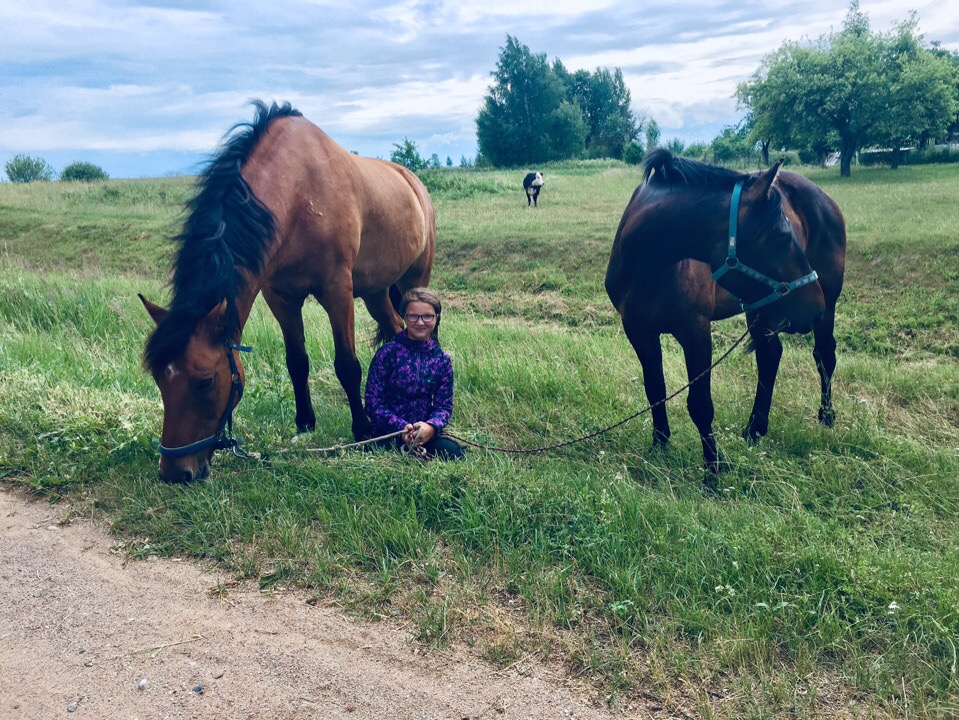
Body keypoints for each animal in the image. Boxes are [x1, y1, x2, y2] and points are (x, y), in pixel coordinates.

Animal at [141, 100, 436, 484]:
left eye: (205, 381)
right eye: (159, 379)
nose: (176, 473)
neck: (299, 193)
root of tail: (414, 183)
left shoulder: (337, 292)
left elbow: (347, 365)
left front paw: (362, 430)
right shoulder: (280, 297)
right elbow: (297, 361)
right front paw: (305, 422)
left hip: (416, 280)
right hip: (376, 291)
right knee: (395, 330)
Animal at [608, 150, 848, 478]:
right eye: (782, 237)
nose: (814, 308)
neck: (650, 269)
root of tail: (826, 199)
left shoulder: (696, 333)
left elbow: (700, 404)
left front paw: (713, 471)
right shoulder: (638, 331)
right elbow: (655, 390)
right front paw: (660, 447)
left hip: (824, 304)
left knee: (824, 356)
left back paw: (826, 416)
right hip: (762, 308)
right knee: (770, 356)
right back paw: (755, 429)